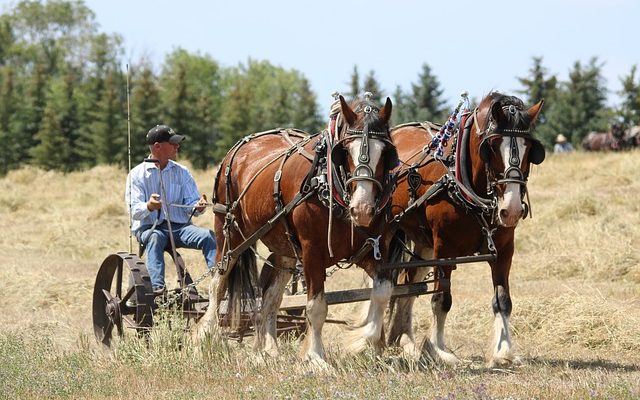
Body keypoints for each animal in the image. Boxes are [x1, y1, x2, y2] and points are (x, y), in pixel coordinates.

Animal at [195, 95, 398, 364]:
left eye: (386, 153)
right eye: (345, 151)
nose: (362, 208)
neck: (330, 183)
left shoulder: (373, 250)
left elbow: (383, 292)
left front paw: (365, 344)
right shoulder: (312, 253)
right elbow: (317, 307)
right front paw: (315, 356)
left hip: (285, 248)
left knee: (271, 295)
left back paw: (268, 348)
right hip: (229, 233)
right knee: (218, 282)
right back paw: (204, 336)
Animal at [384, 92, 544, 368]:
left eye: (529, 149)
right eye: (492, 147)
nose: (511, 209)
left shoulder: (504, 250)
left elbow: (503, 300)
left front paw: (504, 351)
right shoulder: (444, 249)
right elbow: (441, 299)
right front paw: (438, 349)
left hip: (423, 243)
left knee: (408, 282)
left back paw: (403, 339)